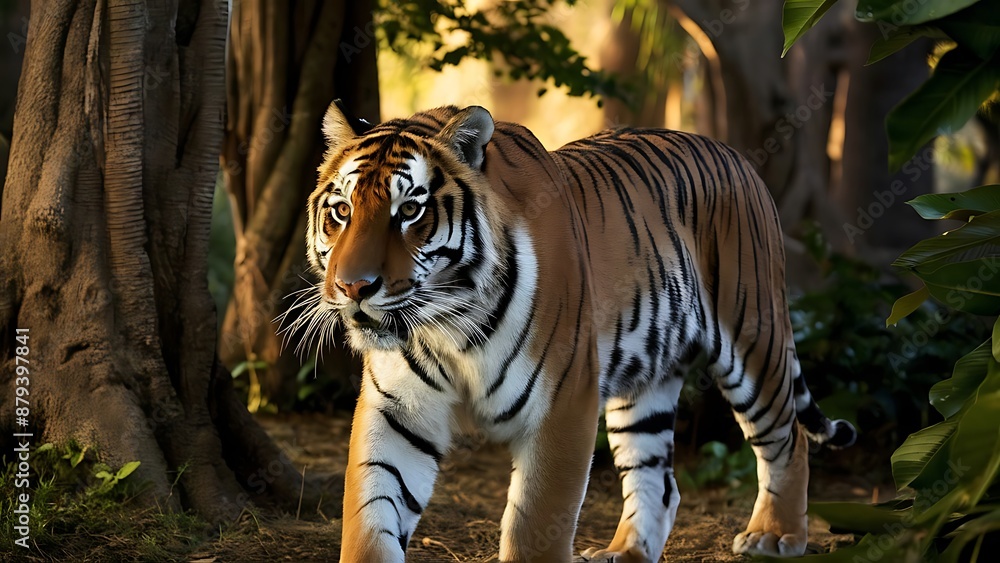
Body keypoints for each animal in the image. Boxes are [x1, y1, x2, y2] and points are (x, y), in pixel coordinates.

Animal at [299, 101, 856, 562]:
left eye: (410, 211)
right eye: (342, 210)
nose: (353, 287)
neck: (446, 325)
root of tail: (737, 156)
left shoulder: (563, 403)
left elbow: (536, 525)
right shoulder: (397, 411)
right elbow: (372, 515)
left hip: (752, 337)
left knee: (787, 438)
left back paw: (775, 535)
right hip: (644, 384)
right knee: (659, 476)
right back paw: (624, 553)